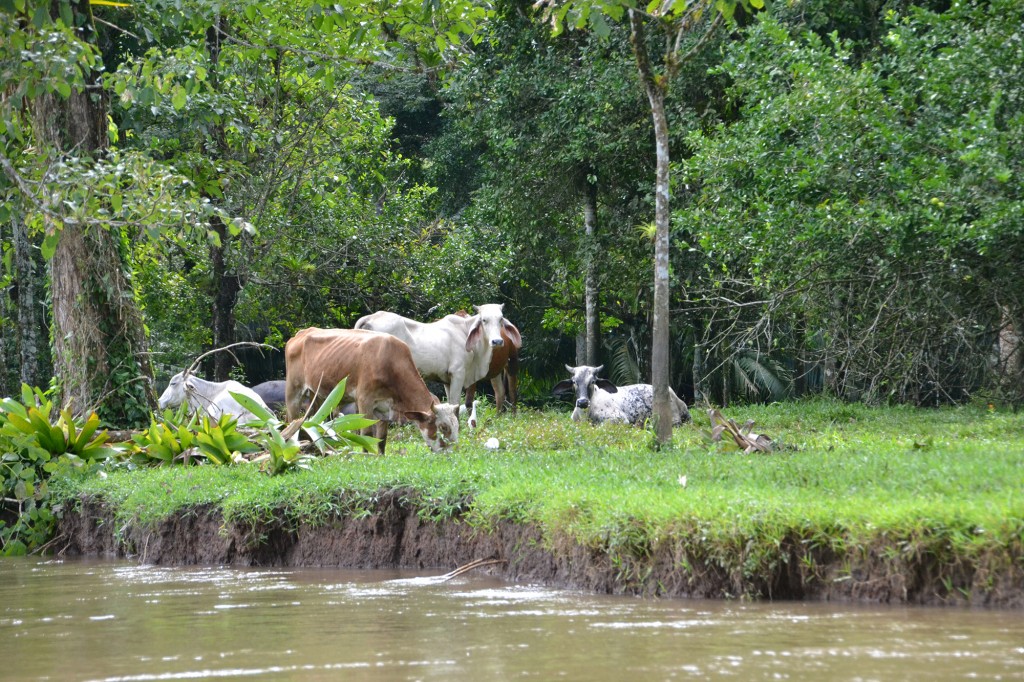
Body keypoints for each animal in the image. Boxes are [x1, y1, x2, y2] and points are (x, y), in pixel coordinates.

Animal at [288, 327, 464, 454]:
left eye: (457, 427)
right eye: (443, 427)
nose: (452, 453)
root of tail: (303, 332)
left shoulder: (384, 407)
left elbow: (382, 438)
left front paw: (380, 456)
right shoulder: (364, 400)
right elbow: (366, 433)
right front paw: (366, 456)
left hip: (317, 395)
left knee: (314, 420)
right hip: (294, 390)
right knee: (291, 420)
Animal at [358, 303, 520, 413]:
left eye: (500, 319)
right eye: (484, 320)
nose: (497, 341)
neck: (465, 331)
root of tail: (370, 317)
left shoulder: (447, 380)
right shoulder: (458, 373)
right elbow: (455, 404)